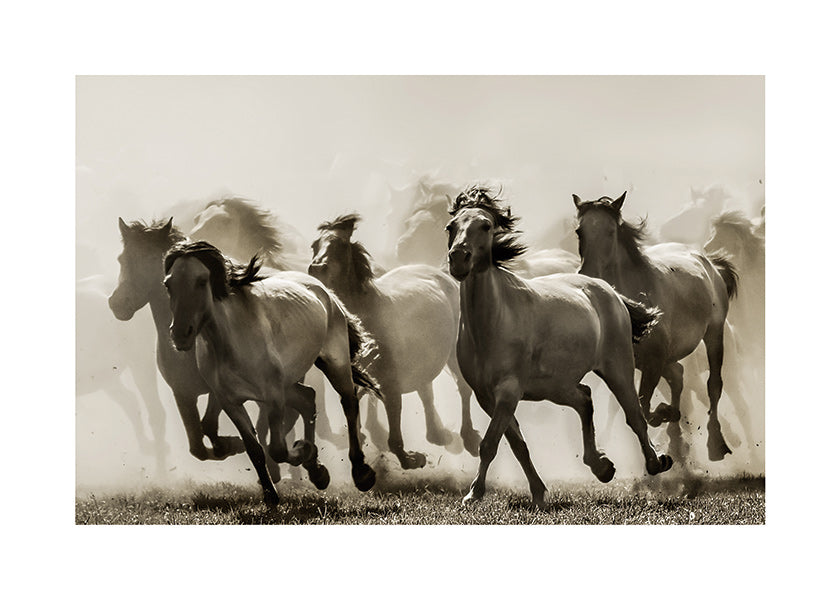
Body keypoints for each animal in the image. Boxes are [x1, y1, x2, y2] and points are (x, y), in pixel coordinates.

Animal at [164, 241, 379, 504]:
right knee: (308, 398)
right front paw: (270, 494)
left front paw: (302, 450)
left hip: (334, 363)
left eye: (202, 281)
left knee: (348, 402)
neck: (230, 341)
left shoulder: (273, 395)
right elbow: (254, 449)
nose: (180, 334)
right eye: (168, 284)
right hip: (289, 383)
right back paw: (317, 473)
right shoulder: (230, 401)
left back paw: (361, 473)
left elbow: (276, 449)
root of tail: (323, 290)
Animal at [309, 214, 484, 467]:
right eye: (315, 246)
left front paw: (410, 458)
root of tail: (442, 275)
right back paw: (437, 434)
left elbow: (393, 420)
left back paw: (468, 438)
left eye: (340, 245)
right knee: (426, 389)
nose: (316, 269)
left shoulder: (390, 382)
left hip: (453, 352)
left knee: (462, 388)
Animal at [446, 187, 672, 508]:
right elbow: (517, 445)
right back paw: (602, 466)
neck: (492, 323)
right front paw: (538, 493)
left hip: (617, 369)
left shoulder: (508, 391)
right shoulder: (486, 397)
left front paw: (473, 494)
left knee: (635, 416)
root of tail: (610, 291)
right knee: (585, 398)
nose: (458, 259)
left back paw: (656, 462)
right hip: (556, 386)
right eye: (451, 227)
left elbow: (489, 443)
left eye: (486, 226)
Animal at [573, 192, 739, 462]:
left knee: (713, 384)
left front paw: (664, 416)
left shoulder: (654, 360)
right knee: (678, 375)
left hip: (714, 333)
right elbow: (643, 406)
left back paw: (716, 444)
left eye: (610, 231)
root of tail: (709, 262)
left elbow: (643, 407)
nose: (588, 273)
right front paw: (668, 417)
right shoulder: (636, 363)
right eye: (579, 231)